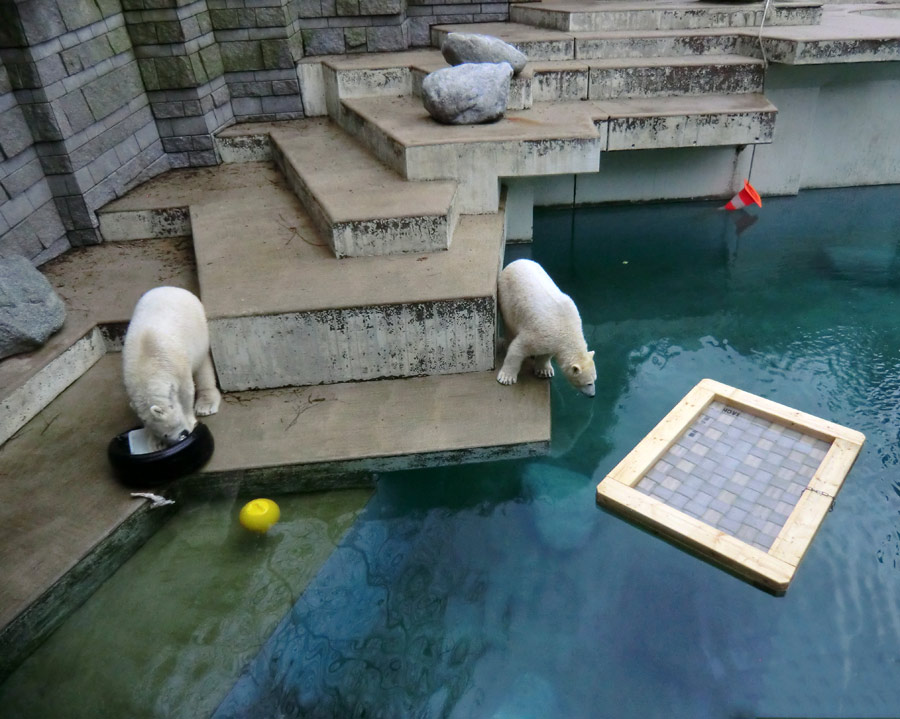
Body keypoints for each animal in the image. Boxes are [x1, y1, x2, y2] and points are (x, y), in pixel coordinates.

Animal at [122, 286, 221, 450]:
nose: (183, 436)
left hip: (198, 329)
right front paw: (156, 443)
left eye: (172, 427)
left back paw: (206, 405)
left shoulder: (177, 365)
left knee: (203, 366)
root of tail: (171, 288)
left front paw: (191, 420)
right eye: (165, 435)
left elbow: (186, 392)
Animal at [496, 258, 596, 396]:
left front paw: (544, 371)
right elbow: (518, 348)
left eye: (595, 379)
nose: (592, 395)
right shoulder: (541, 333)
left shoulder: (553, 341)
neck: (568, 329)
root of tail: (516, 261)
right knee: (509, 325)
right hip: (507, 297)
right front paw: (506, 378)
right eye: (588, 383)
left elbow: (546, 354)